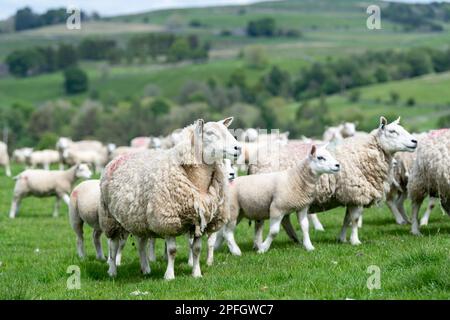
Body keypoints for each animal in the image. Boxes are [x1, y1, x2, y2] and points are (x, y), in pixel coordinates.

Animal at [99, 117, 243, 280]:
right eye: (210, 133)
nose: (238, 148)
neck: (198, 180)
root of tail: (118, 157)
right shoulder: (167, 219)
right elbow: (172, 251)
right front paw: (169, 276)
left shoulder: (200, 220)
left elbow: (197, 249)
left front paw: (196, 273)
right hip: (110, 217)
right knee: (113, 245)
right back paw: (112, 271)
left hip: (138, 217)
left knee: (141, 243)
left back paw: (145, 269)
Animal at [251, 117, 416, 248]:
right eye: (392, 131)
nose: (415, 141)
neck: (365, 153)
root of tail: (254, 162)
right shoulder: (356, 192)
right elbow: (355, 219)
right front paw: (355, 241)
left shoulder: (350, 196)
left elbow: (347, 220)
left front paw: (342, 238)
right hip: (262, 195)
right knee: (260, 222)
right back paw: (258, 244)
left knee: (284, 219)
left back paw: (295, 239)